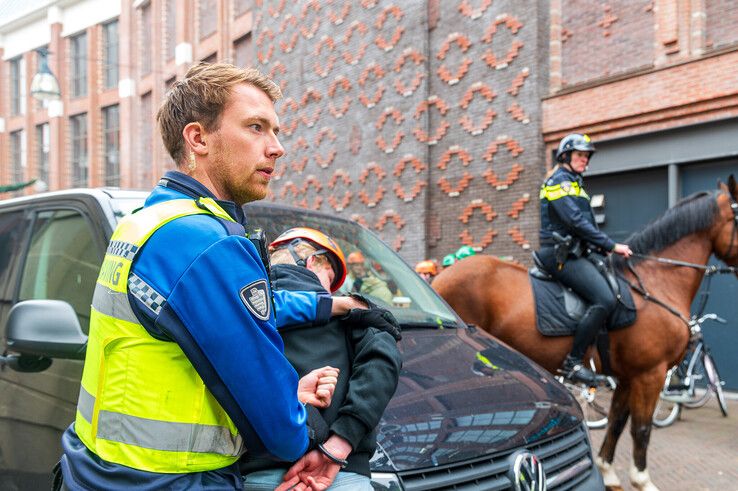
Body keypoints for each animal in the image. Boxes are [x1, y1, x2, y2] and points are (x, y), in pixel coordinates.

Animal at [432, 175, 736, 490]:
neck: (655, 284)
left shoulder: (627, 377)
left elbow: (616, 423)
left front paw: (608, 472)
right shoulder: (649, 374)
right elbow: (641, 428)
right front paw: (642, 479)